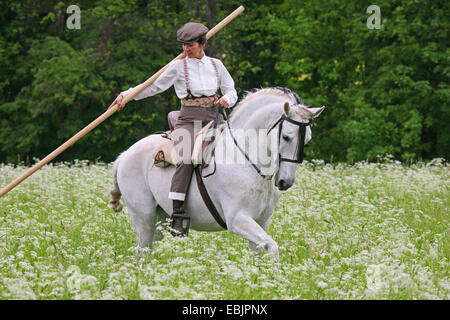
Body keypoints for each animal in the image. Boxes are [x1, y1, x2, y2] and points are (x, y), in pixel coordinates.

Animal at [109, 87, 324, 260]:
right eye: (286, 137)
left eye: (308, 140)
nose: (285, 181)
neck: (245, 158)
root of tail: (125, 155)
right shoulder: (238, 219)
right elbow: (272, 247)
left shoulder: (261, 222)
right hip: (144, 219)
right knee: (141, 253)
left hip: (159, 221)